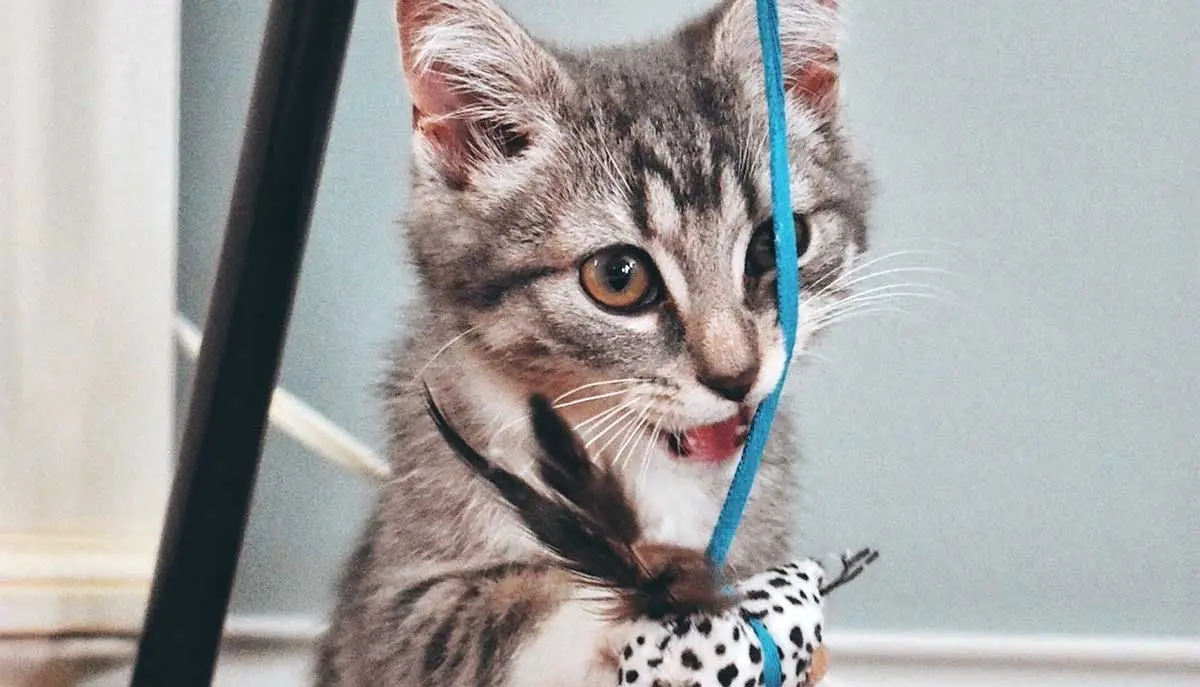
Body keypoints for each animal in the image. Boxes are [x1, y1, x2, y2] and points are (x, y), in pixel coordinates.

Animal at [314, 0, 868, 682]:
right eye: (618, 277)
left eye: (776, 244)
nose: (737, 376)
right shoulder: (391, 609)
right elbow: (499, 614)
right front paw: (665, 608)